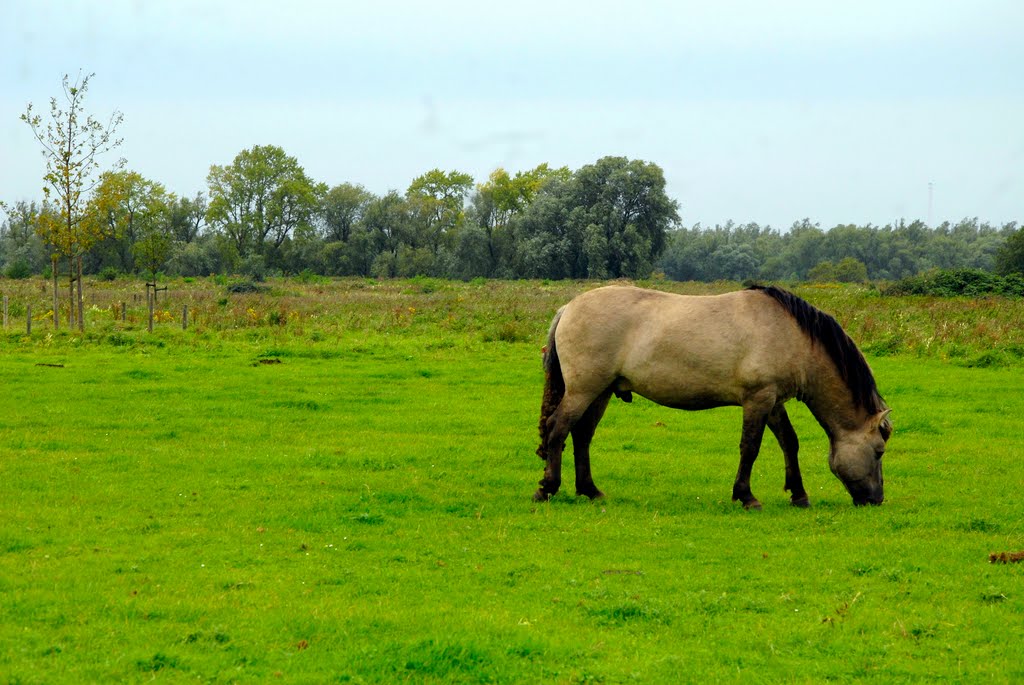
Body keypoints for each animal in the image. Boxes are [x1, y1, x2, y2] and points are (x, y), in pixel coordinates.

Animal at [532, 282, 892, 507]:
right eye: (878, 452)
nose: (875, 500)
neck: (790, 333)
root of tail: (568, 308)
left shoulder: (773, 401)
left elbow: (789, 443)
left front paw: (798, 495)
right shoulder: (758, 399)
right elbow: (750, 447)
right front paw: (746, 496)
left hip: (601, 392)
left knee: (581, 436)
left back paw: (590, 490)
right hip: (583, 390)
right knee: (558, 429)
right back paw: (548, 488)